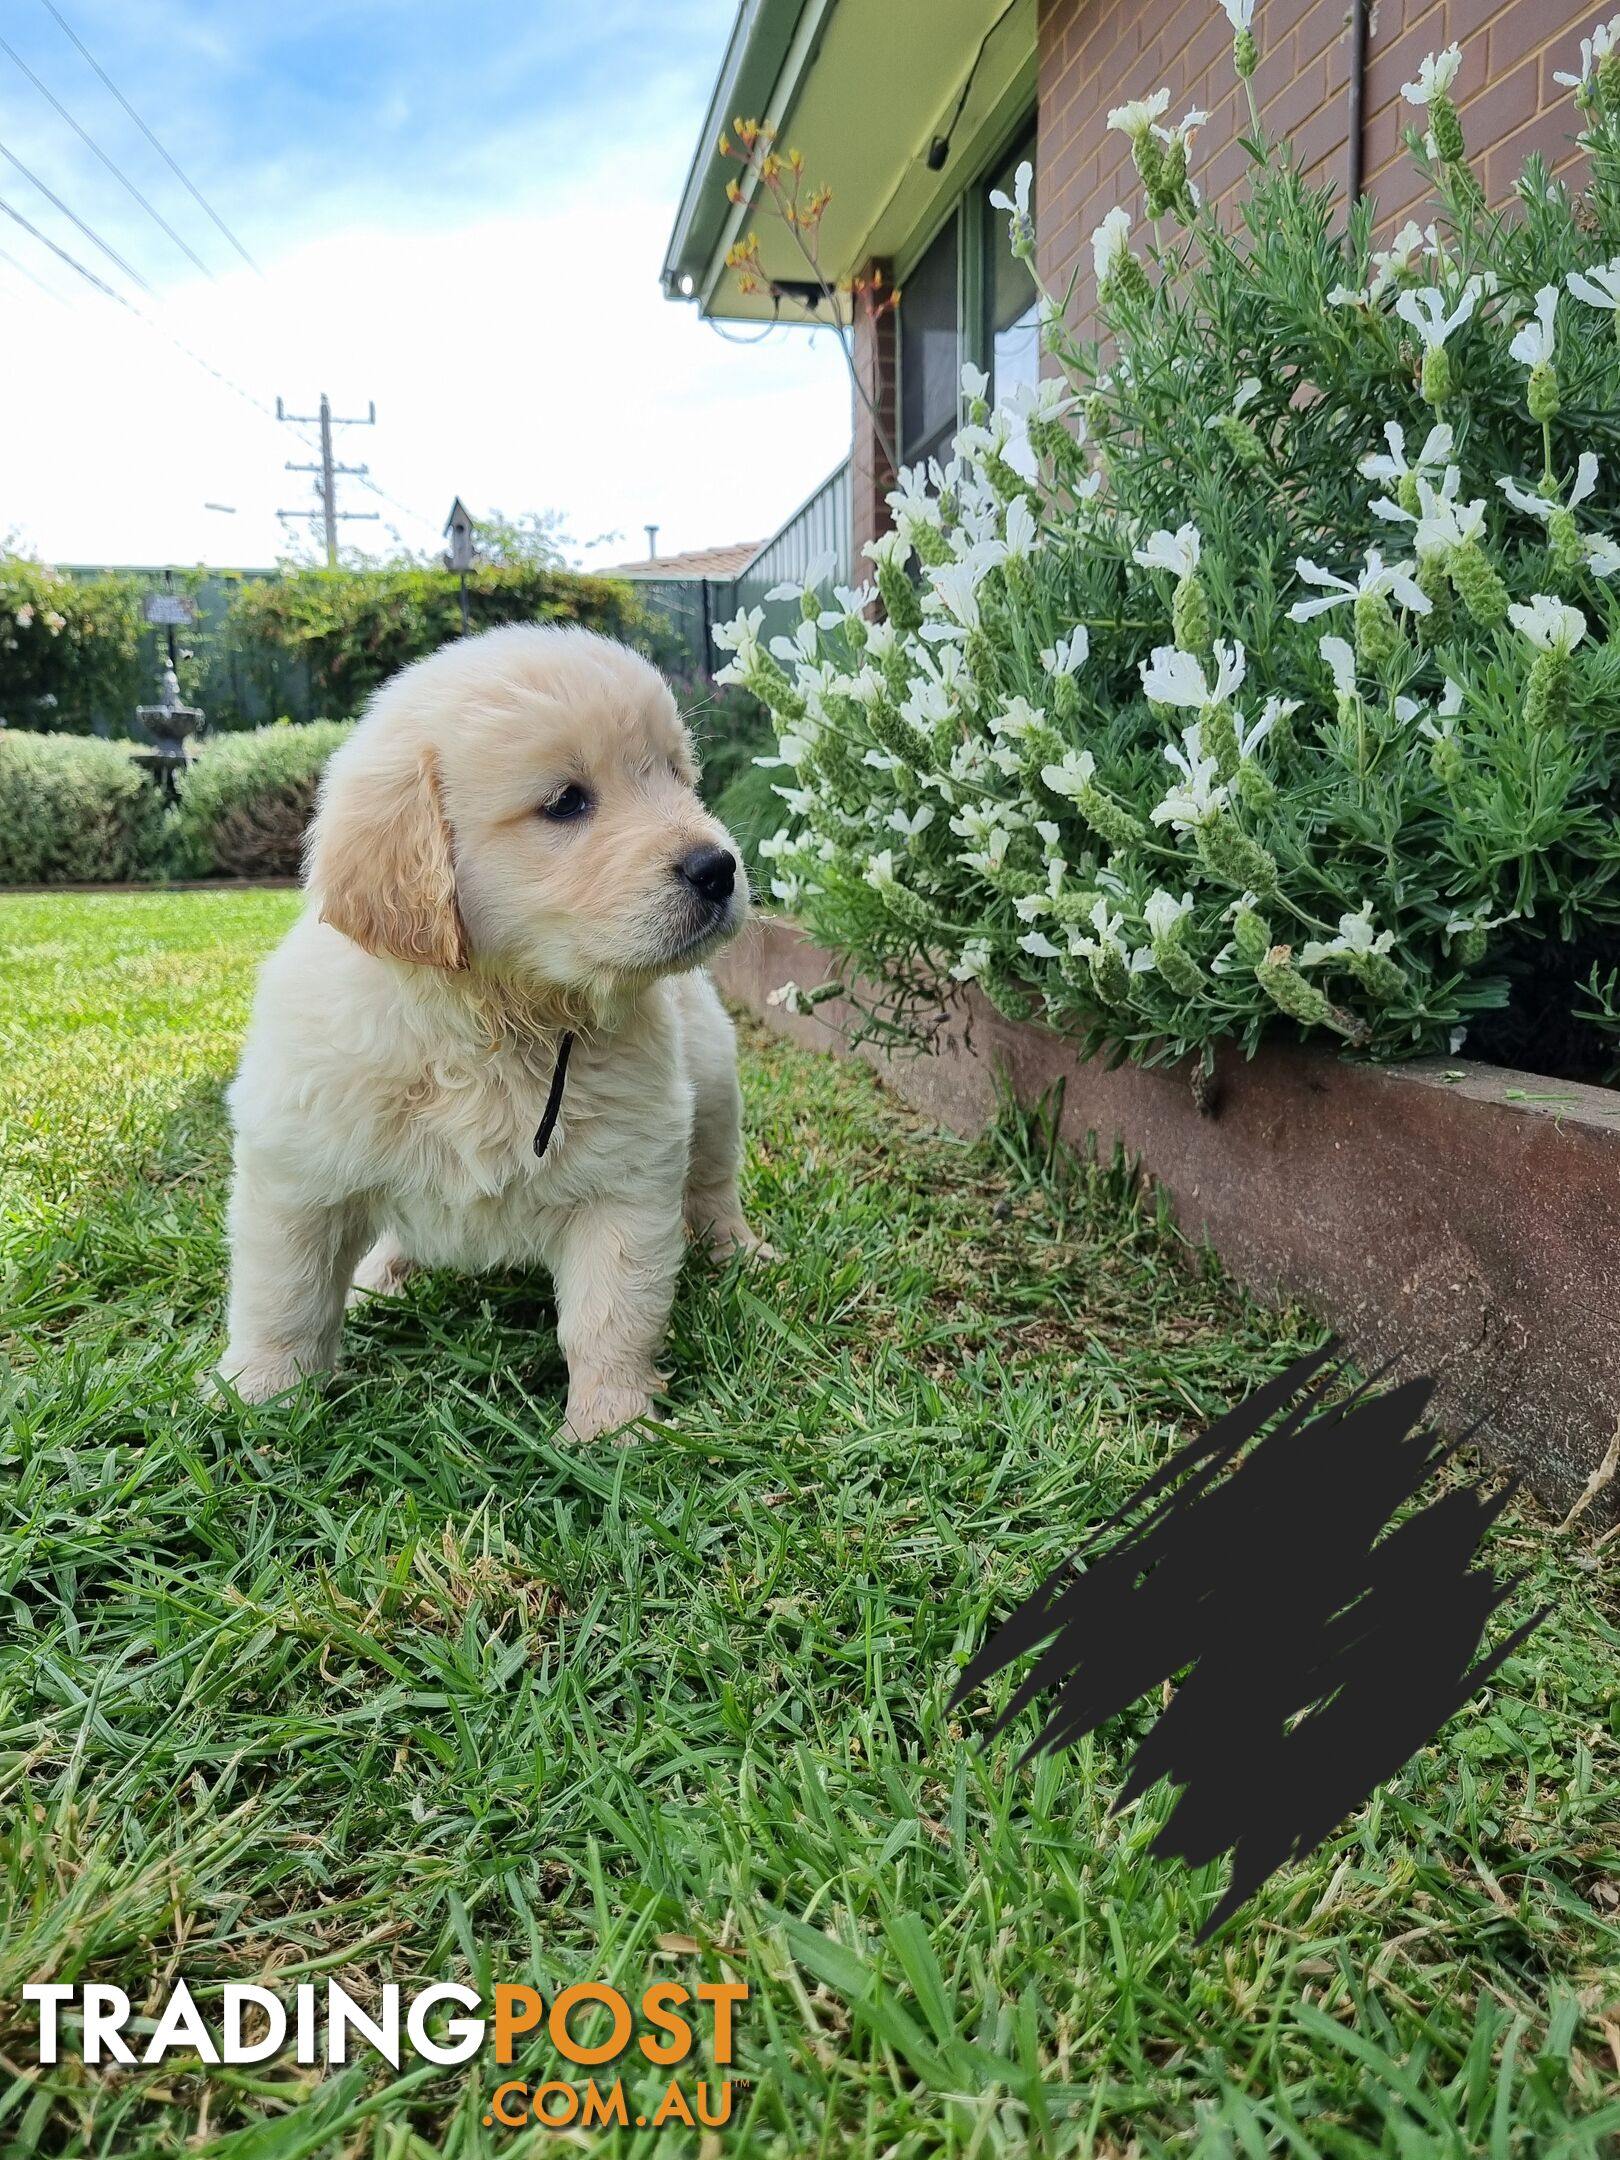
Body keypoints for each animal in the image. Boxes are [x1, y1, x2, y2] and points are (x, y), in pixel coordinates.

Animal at [219, 622, 764, 1434]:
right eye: (566, 803)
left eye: (675, 775)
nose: (719, 867)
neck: (498, 1021)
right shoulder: (297, 1173)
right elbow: (283, 1296)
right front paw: (259, 1397)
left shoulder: (626, 1183)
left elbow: (610, 1315)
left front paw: (613, 1423)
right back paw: (382, 1275)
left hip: (716, 1088)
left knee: (714, 1185)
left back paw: (741, 1252)